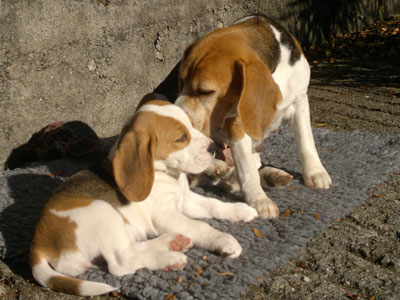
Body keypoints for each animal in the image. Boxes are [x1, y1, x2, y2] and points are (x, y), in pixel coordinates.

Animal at [30, 98, 256, 296]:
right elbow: (201, 226)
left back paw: (173, 242)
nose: (213, 148)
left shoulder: (186, 199)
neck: (166, 174)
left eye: (193, 125)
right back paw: (170, 258)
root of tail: (39, 244)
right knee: (121, 263)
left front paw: (240, 209)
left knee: (131, 248)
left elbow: (214, 204)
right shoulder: (166, 215)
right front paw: (223, 239)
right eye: (181, 138)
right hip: (102, 211)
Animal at [177, 15, 332, 218]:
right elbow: (247, 169)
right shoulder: (235, 124)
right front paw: (259, 200)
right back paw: (217, 167)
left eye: (205, 92)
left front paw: (315, 172)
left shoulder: (300, 100)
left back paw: (272, 176)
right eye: (181, 81)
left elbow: (306, 141)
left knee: (232, 177)